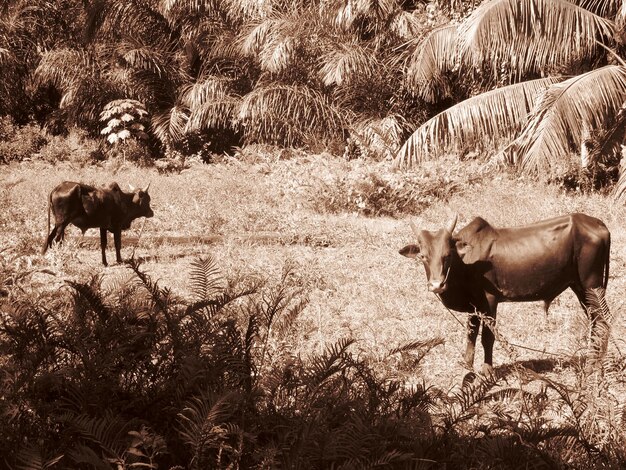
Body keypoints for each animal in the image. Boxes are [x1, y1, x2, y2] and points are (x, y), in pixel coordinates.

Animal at [400, 213, 608, 374]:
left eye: (447, 255)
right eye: (423, 256)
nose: (437, 285)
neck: (466, 263)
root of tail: (598, 224)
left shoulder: (489, 302)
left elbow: (487, 338)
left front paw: (487, 370)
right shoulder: (474, 306)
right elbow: (471, 335)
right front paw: (467, 366)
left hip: (591, 285)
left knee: (602, 321)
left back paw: (595, 365)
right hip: (580, 287)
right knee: (595, 321)